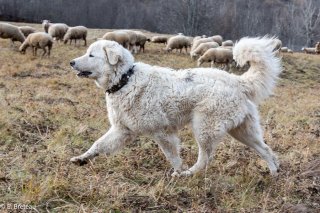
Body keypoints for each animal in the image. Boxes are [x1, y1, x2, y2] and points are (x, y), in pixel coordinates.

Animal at [69, 36, 282, 176]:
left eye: (91, 55)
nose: (71, 62)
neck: (125, 80)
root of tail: (238, 81)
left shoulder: (162, 133)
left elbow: (172, 156)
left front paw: (178, 172)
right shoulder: (122, 130)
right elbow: (98, 144)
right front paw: (82, 158)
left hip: (205, 128)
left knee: (205, 158)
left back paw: (188, 174)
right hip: (243, 131)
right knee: (265, 149)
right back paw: (274, 173)